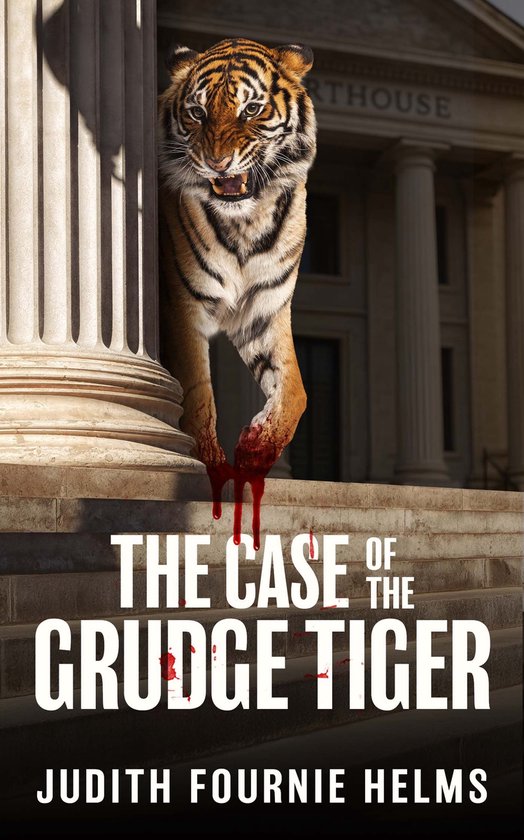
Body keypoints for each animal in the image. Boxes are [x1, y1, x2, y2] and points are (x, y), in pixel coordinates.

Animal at [158, 37, 316, 501]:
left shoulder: (263, 311)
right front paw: (209, 471)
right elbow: (197, 395)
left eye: (252, 109)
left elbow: (296, 391)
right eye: (197, 112)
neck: (247, 222)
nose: (217, 163)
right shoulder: (182, 309)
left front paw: (255, 450)